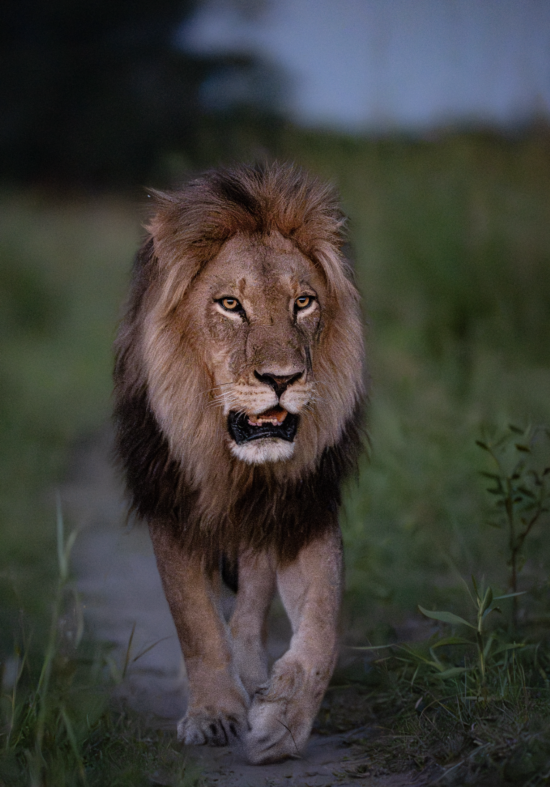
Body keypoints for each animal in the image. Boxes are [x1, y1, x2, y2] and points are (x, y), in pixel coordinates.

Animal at [114, 163, 366, 768]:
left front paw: (282, 723)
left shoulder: (302, 509)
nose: (282, 378)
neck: (236, 464)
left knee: (250, 601)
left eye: (304, 302)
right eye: (230, 305)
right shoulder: (172, 505)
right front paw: (213, 716)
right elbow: (195, 622)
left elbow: (323, 625)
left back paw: (255, 677)